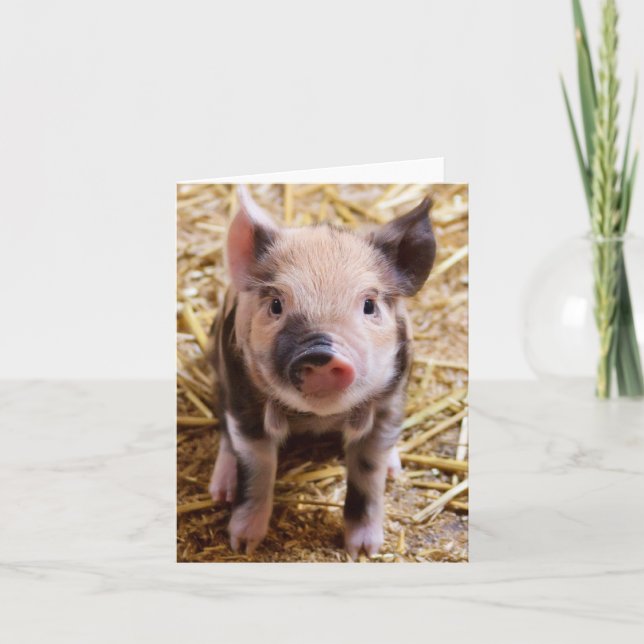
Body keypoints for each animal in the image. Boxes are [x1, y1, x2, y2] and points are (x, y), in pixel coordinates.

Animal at [208, 186, 436, 559]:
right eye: (276, 304)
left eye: (369, 305)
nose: (320, 353)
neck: (318, 418)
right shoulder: (244, 400)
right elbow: (256, 469)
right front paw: (243, 545)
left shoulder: (390, 402)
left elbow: (368, 472)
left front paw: (364, 552)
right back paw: (221, 491)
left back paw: (395, 469)